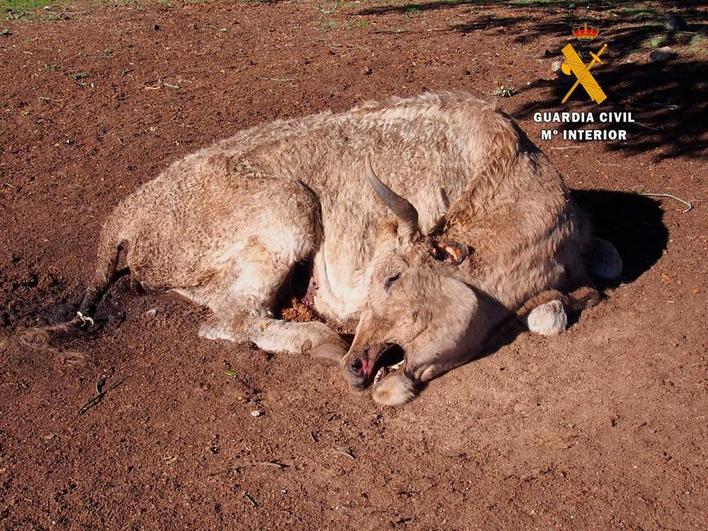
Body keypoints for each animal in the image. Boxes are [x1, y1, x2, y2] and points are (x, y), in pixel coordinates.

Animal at [44, 92, 620, 408]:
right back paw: (318, 338)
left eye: (392, 279)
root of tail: (125, 216)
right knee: (230, 319)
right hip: (291, 206)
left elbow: (598, 270)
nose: (358, 364)